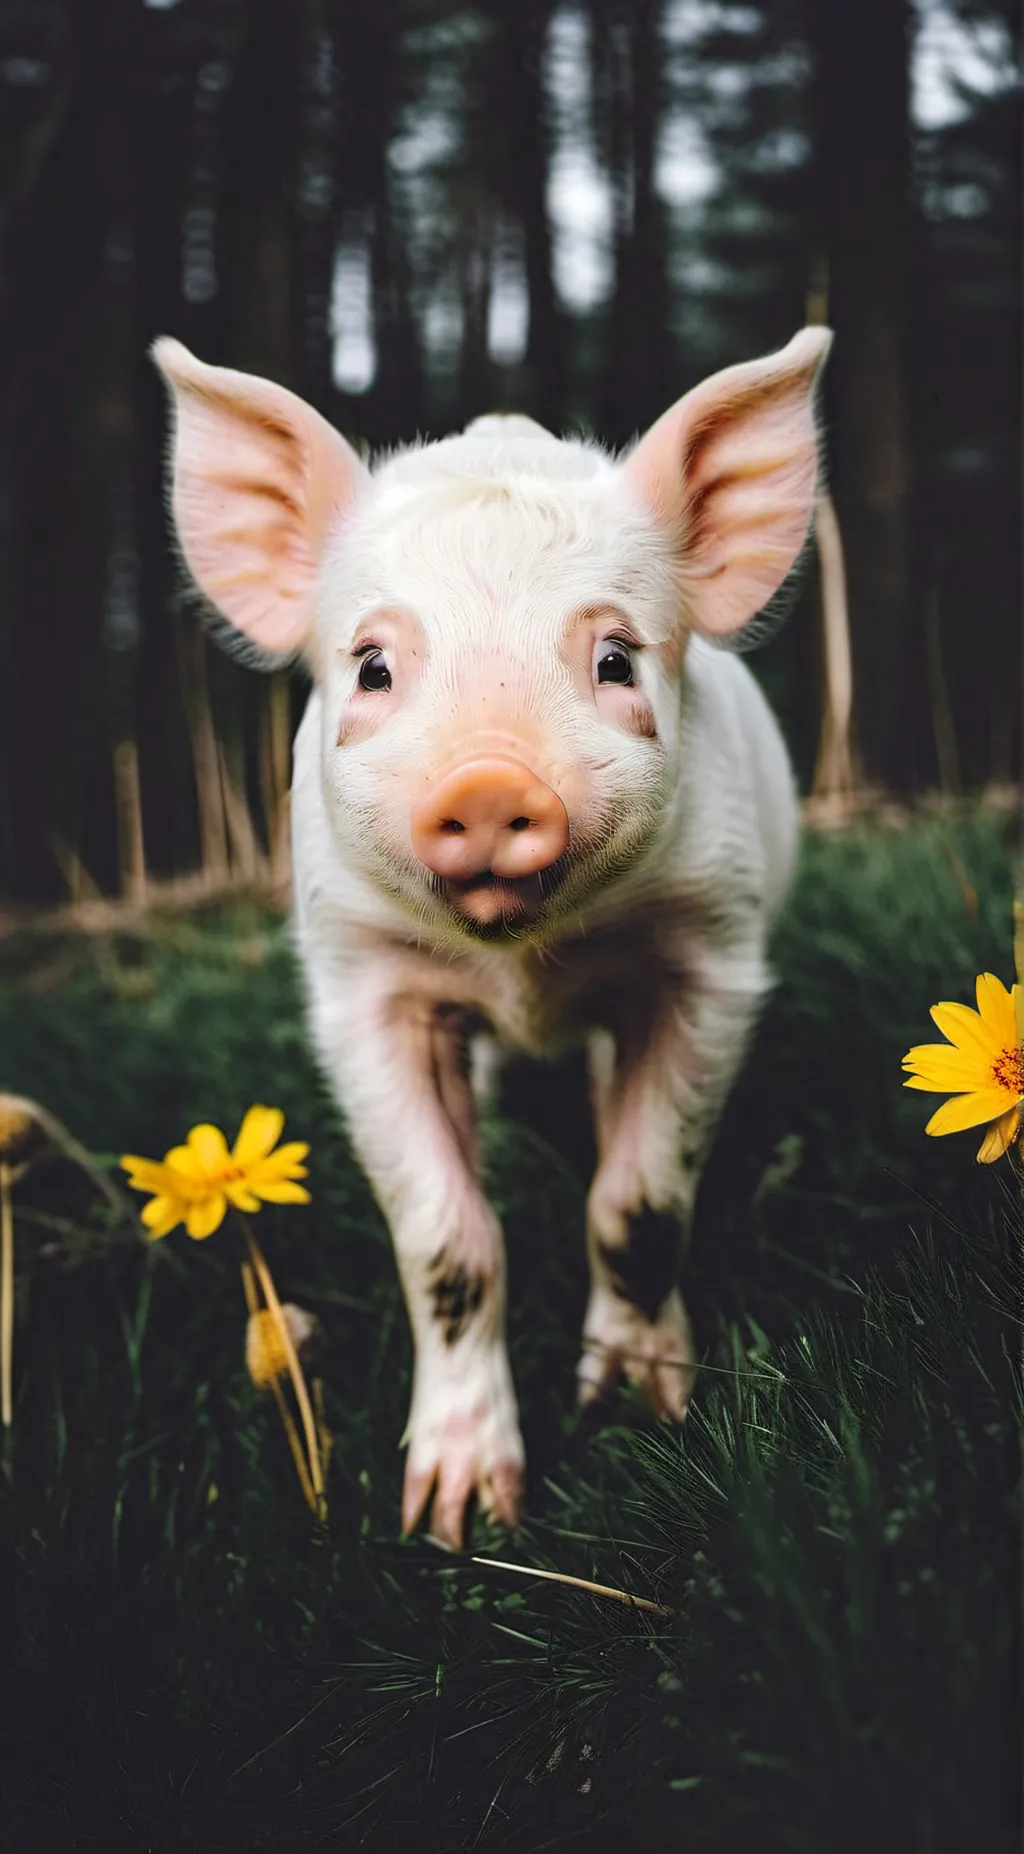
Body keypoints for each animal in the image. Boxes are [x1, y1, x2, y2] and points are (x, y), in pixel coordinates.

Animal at [153, 326, 832, 1548]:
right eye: (374, 665)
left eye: (615, 659)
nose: (486, 780)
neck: (522, 970)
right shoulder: (359, 985)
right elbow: (447, 1241)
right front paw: (456, 1523)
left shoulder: (711, 953)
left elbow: (638, 1204)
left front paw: (638, 1413)